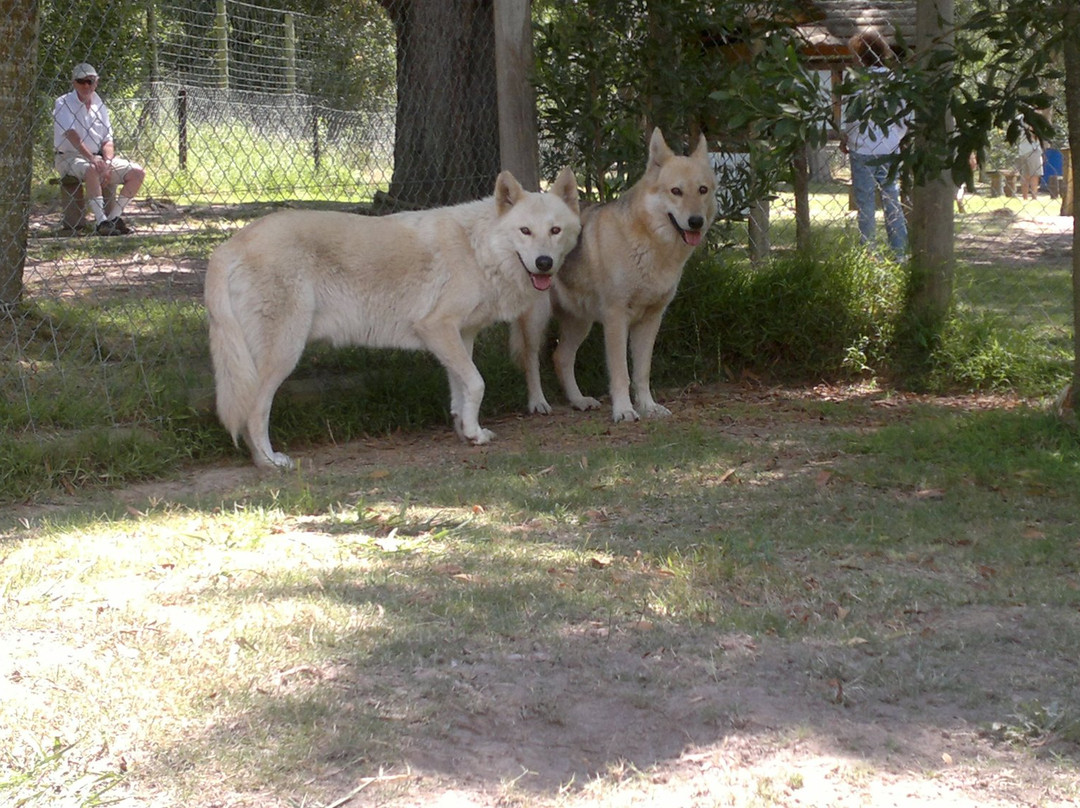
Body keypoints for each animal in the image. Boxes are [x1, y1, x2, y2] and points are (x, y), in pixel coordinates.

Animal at [205, 168, 581, 469]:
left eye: (555, 230)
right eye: (525, 231)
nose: (544, 263)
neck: (479, 249)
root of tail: (227, 247)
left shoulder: (461, 335)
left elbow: (461, 392)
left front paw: (467, 432)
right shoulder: (436, 328)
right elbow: (477, 383)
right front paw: (474, 433)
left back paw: (260, 460)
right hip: (284, 354)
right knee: (254, 412)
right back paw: (270, 462)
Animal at [512, 128, 716, 423]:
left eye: (702, 190)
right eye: (676, 191)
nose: (696, 222)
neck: (651, 245)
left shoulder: (651, 321)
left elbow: (642, 373)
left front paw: (649, 407)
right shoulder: (616, 319)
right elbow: (621, 373)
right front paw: (624, 411)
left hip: (580, 322)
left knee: (561, 358)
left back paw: (579, 401)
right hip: (537, 321)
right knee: (532, 361)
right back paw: (538, 403)